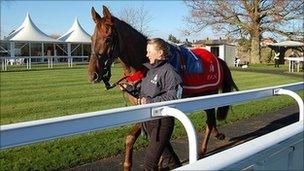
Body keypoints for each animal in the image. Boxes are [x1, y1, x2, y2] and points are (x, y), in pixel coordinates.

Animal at [88, 5, 238, 171]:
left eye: (108, 39)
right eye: (92, 39)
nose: (93, 74)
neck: (145, 65)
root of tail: (217, 58)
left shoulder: (149, 105)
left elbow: (132, 137)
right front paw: (161, 161)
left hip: (208, 95)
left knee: (209, 122)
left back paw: (202, 151)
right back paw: (217, 135)